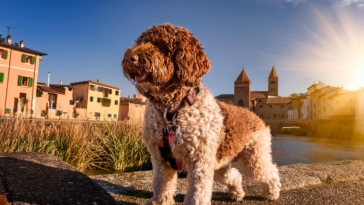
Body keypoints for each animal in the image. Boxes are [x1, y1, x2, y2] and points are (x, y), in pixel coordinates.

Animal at [122, 24, 282, 205]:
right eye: (140, 42)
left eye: (162, 46)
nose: (130, 58)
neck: (172, 110)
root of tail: (254, 115)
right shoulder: (161, 160)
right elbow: (161, 185)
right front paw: (158, 201)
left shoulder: (199, 161)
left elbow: (197, 193)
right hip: (220, 163)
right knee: (234, 175)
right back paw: (237, 193)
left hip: (254, 157)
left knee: (270, 171)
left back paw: (272, 193)